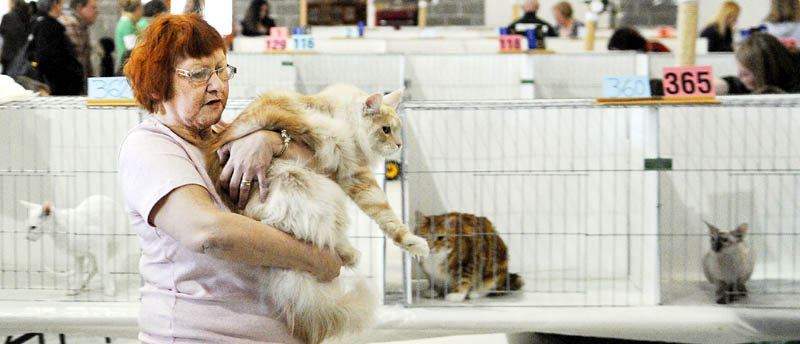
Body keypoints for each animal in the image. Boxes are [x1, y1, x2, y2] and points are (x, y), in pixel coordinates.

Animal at [180, 84, 428, 344]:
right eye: (386, 130)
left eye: (398, 130)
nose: (399, 145)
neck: (335, 111)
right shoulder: (353, 169)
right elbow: (387, 214)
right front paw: (415, 244)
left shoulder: (351, 174)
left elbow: (384, 215)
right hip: (309, 186)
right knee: (318, 235)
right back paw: (351, 255)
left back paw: (349, 255)